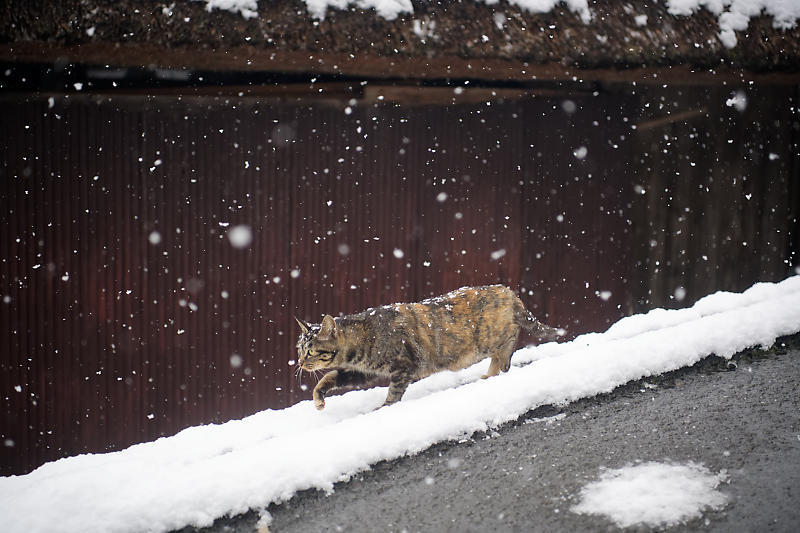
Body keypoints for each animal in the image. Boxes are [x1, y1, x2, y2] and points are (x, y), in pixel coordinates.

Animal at [294, 284, 564, 410]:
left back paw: (493, 371)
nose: (299, 362)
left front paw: (384, 408)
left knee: (509, 344)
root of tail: (507, 290)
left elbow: (394, 393)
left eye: (311, 351)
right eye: (299, 349)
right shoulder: (363, 370)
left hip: (493, 337)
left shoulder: (403, 365)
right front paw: (318, 398)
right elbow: (329, 377)